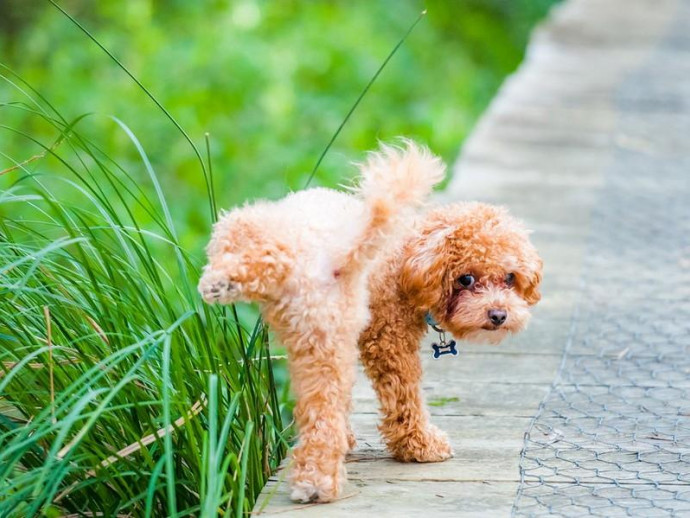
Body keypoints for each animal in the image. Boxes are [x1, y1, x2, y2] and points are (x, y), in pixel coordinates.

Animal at [196, 141, 444, 504]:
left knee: (261, 255)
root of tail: (340, 257)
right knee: (324, 417)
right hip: (324, 345)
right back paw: (317, 482)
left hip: (260, 233)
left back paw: (219, 283)